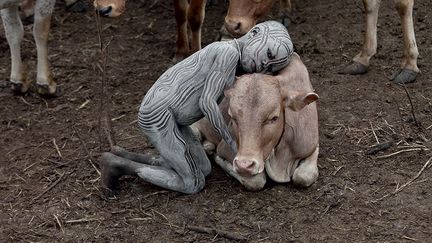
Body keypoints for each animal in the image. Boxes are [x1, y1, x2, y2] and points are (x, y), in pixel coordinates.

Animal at [192, 52, 320, 190]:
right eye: (232, 117)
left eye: (273, 118)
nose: (244, 165)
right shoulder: (225, 148)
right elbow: (256, 181)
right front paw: (217, 157)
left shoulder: (311, 143)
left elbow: (303, 176)